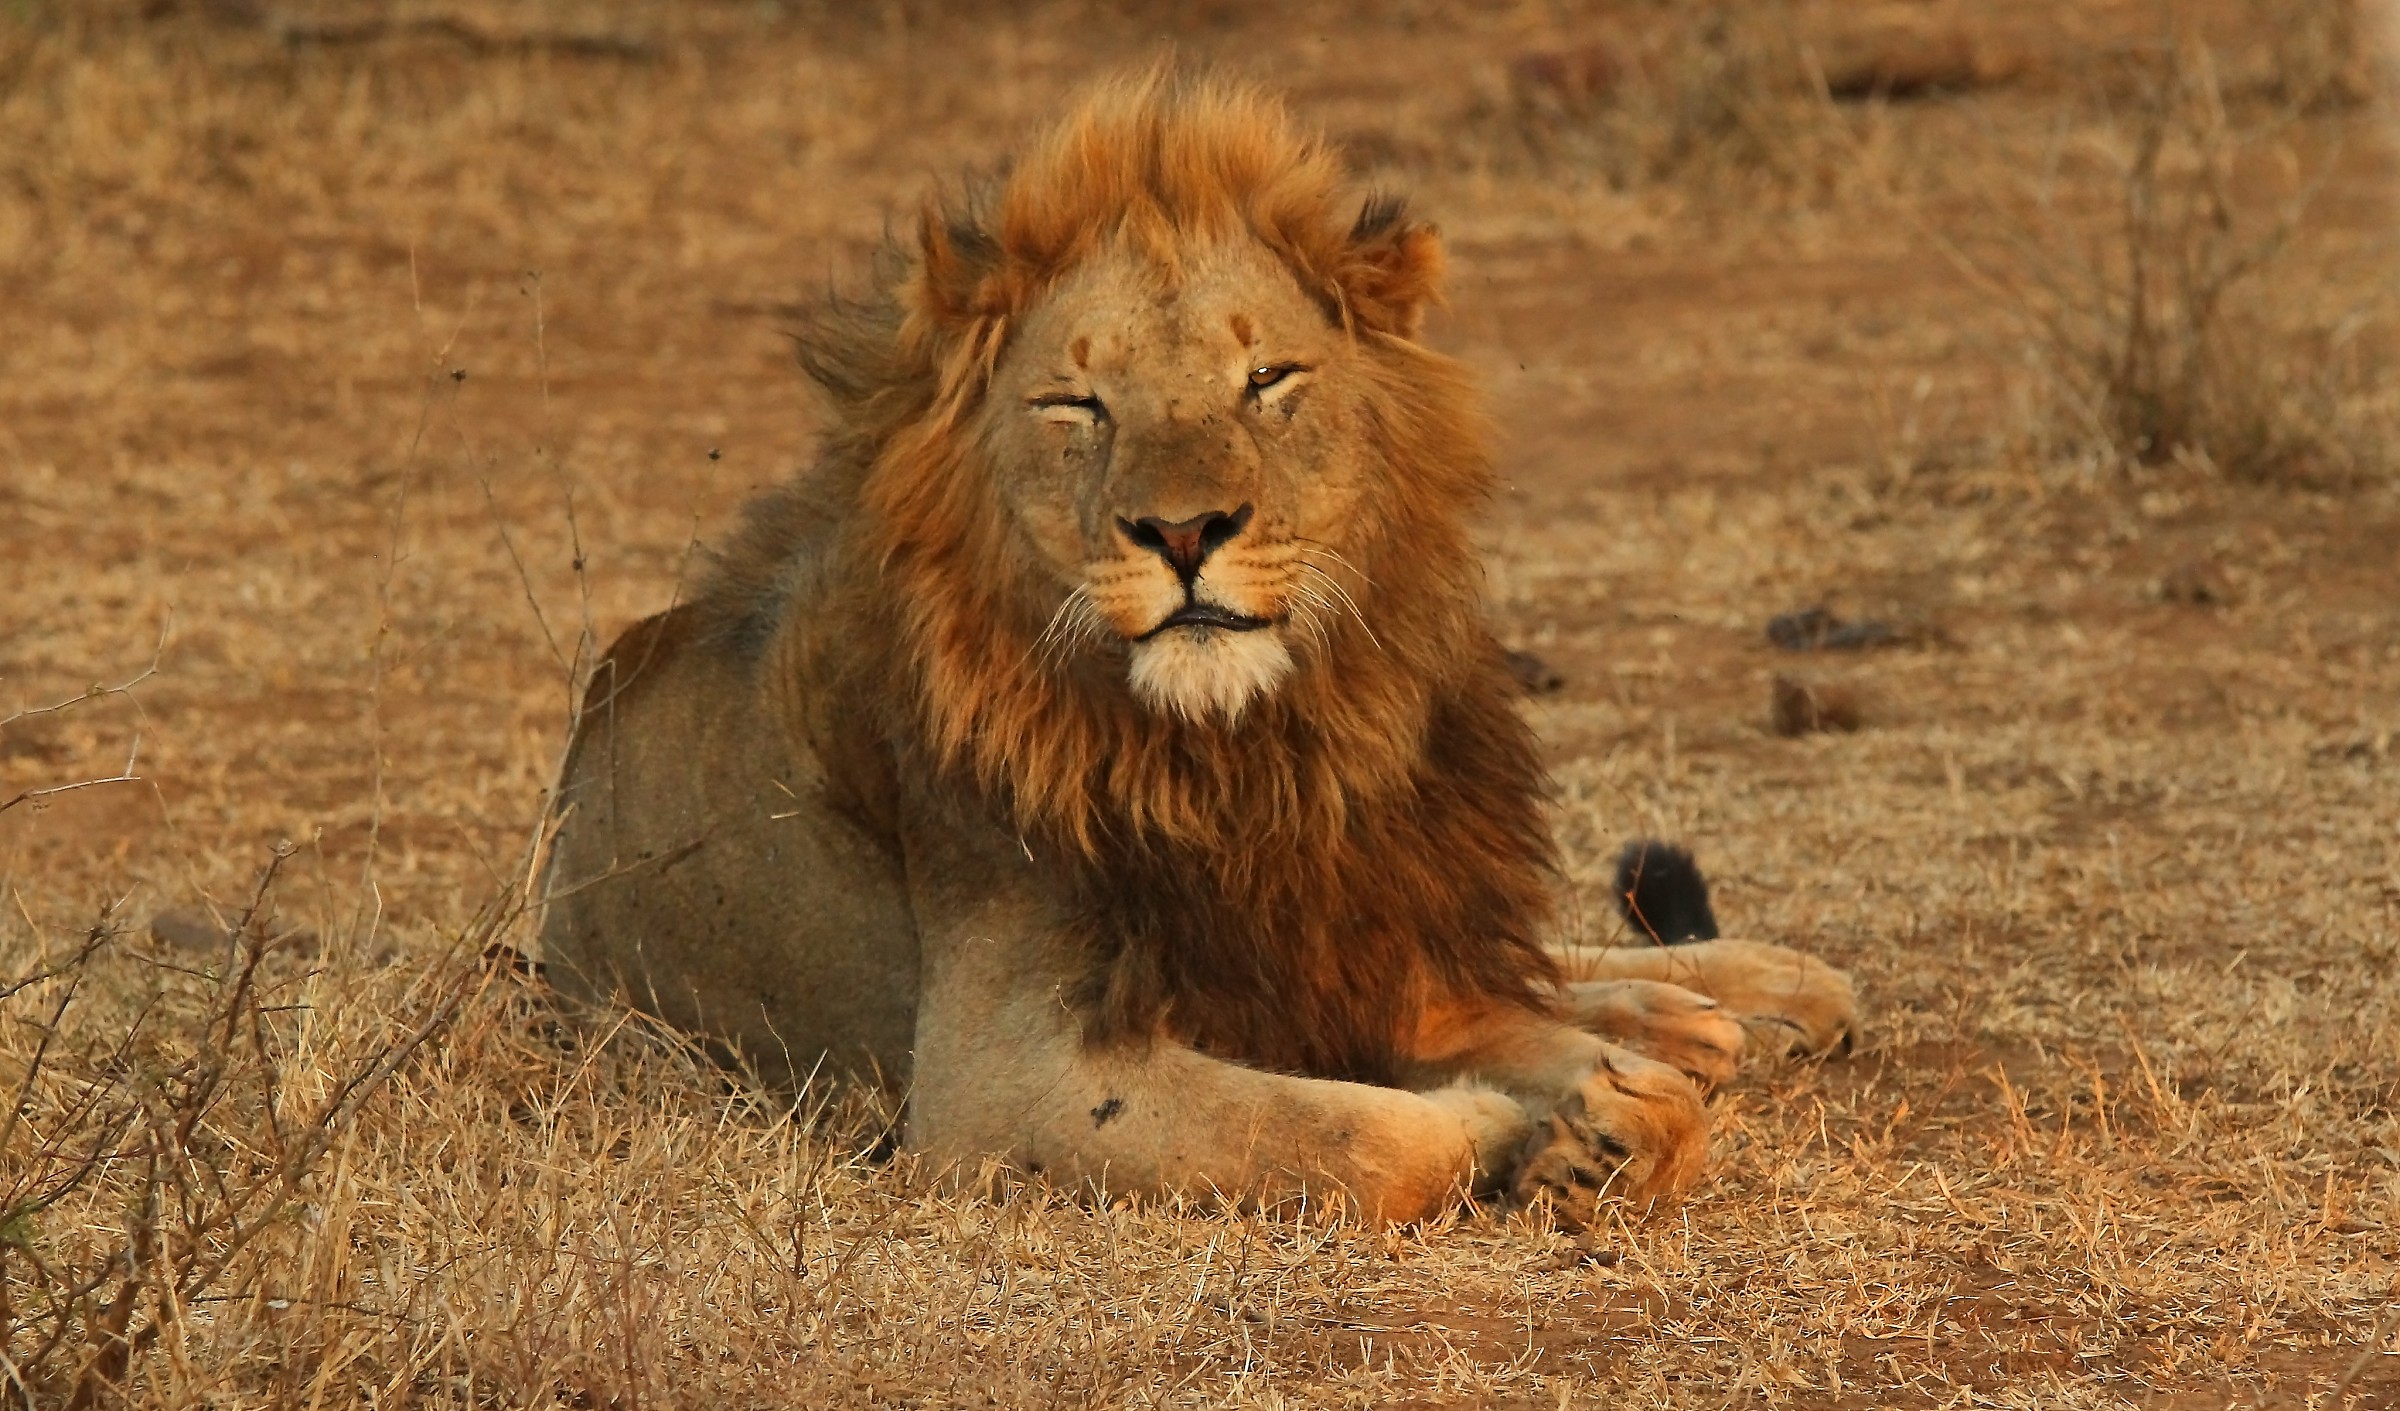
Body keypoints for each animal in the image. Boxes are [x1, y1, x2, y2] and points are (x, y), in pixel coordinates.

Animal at [537, 73, 1858, 1227]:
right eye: (1078, 406)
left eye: (1265, 378)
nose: (1184, 532)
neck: (1250, 750)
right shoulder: (995, 1077)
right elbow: (1357, 1131)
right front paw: (1518, 1129)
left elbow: (1552, 1055)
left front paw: (1607, 1105)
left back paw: (1749, 995)